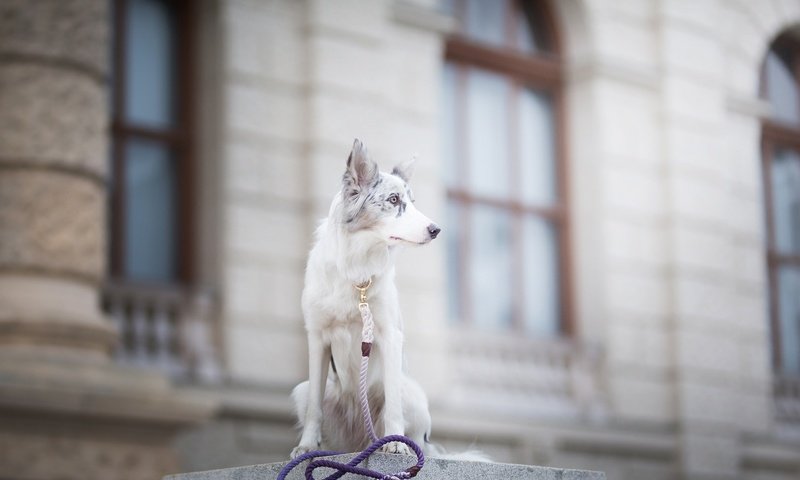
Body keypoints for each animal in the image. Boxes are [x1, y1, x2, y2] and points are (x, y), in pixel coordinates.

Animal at [290, 138, 440, 458]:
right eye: (394, 200)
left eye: (413, 201)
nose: (436, 230)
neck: (357, 269)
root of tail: (360, 441)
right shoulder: (317, 338)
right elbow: (314, 410)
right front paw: (306, 446)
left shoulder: (389, 335)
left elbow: (393, 407)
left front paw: (396, 443)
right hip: (302, 389)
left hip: (414, 394)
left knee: (409, 429)